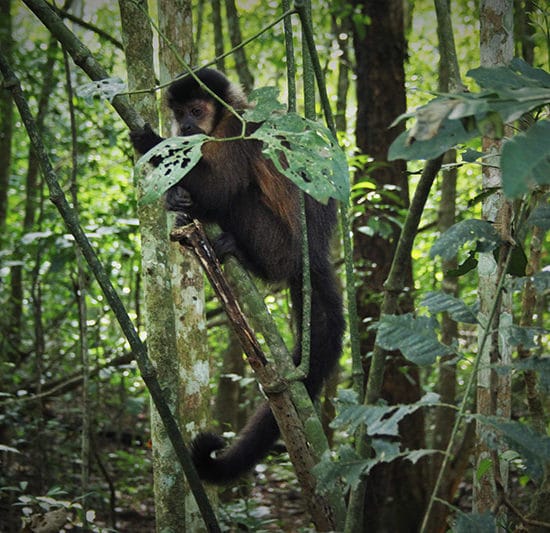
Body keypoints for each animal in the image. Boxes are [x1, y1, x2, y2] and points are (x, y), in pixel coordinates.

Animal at [130, 68, 344, 484]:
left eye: (197, 110)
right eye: (179, 112)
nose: (185, 126)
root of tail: (314, 256)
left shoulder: (236, 130)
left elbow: (221, 187)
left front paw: (150, 142)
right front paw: (174, 198)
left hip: (277, 246)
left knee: (238, 195)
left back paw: (235, 247)